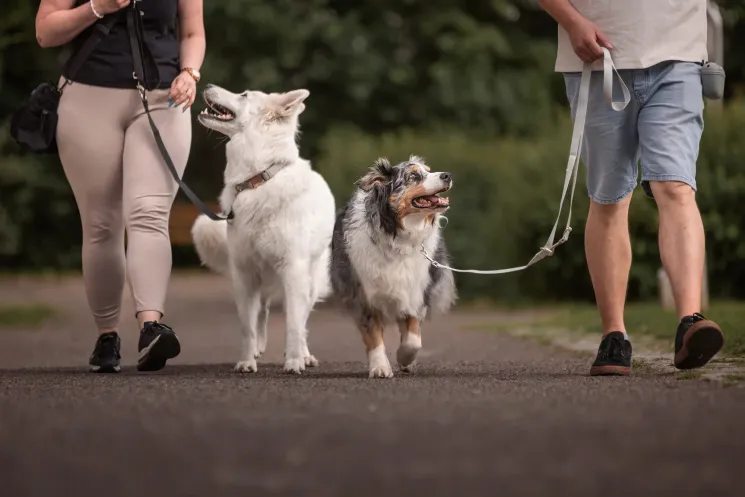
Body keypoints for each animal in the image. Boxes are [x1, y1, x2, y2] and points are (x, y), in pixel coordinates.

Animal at [192, 84, 334, 372]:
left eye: (244, 95)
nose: (206, 85)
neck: (257, 180)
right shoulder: (245, 274)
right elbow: (247, 326)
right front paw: (246, 361)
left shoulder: (294, 272)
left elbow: (294, 325)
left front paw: (294, 362)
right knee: (263, 311)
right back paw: (259, 348)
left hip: (310, 282)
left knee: (301, 319)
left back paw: (304, 354)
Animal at [330, 155, 456, 376]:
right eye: (413, 176)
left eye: (429, 170)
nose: (447, 175)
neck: (398, 238)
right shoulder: (364, 295)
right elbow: (373, 335)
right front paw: (380, 367)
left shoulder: (415, 291)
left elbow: (413, 338)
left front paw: (405, 358)